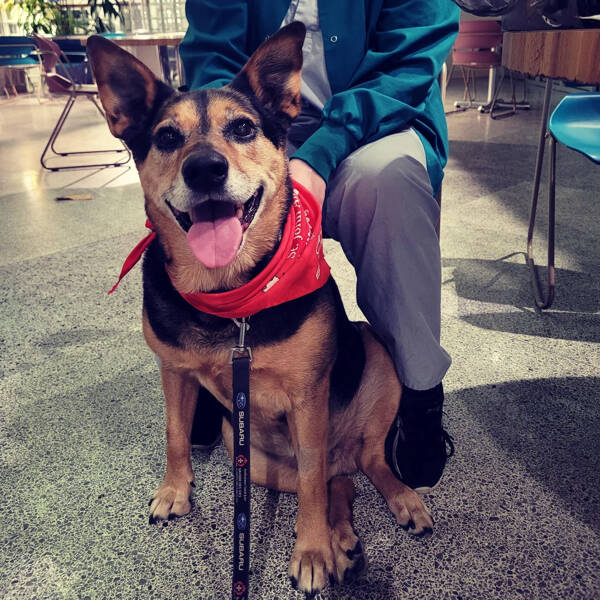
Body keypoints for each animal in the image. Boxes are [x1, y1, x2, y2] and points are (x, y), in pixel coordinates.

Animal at [86, 22, 434, 596]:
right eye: (166, 138)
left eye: (244, 128)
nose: (205, 169)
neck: (231, 297)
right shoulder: (174, 370)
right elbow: (176, 435)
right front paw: (174, 492)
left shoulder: (307, 398)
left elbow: (314, 487)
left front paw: (311, 553)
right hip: (249, 451)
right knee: (341, 483)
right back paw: (345, 542)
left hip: (375, 360)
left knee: (363, 465)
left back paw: (397, 503)